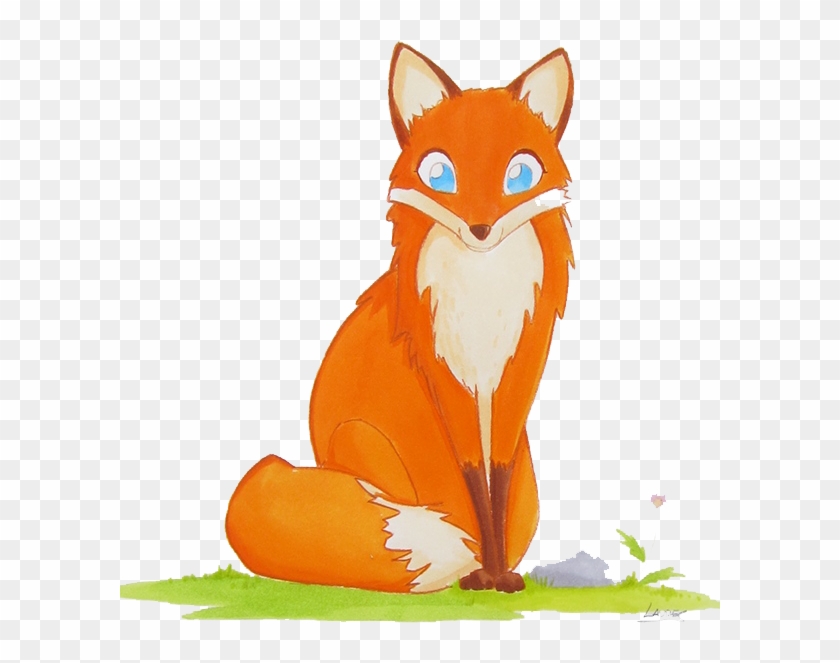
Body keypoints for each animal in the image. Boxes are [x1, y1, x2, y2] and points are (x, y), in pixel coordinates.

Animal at [225, 43, 575, 594]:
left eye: (519, 174)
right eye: (440, 175)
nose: (480, 229)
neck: (483, 293)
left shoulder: (517, 373)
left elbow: (496, 478)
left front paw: (499, 574)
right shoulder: (445, 374)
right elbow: (474, 477)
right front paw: (485, 574)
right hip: (363, 441)